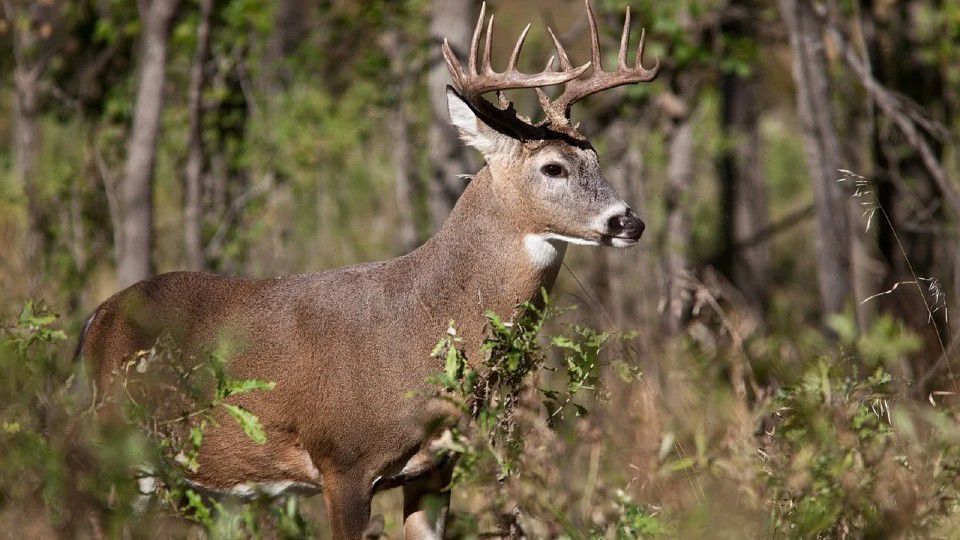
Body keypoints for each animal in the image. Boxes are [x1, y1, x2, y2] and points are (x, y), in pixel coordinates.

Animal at [77, 2, 660, 536]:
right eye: (553, 167)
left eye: (597, 160)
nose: (630, 222)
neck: (422, 322)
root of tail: (95, 321)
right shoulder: (344, 461)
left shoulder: (435, 469)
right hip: (119, 440)